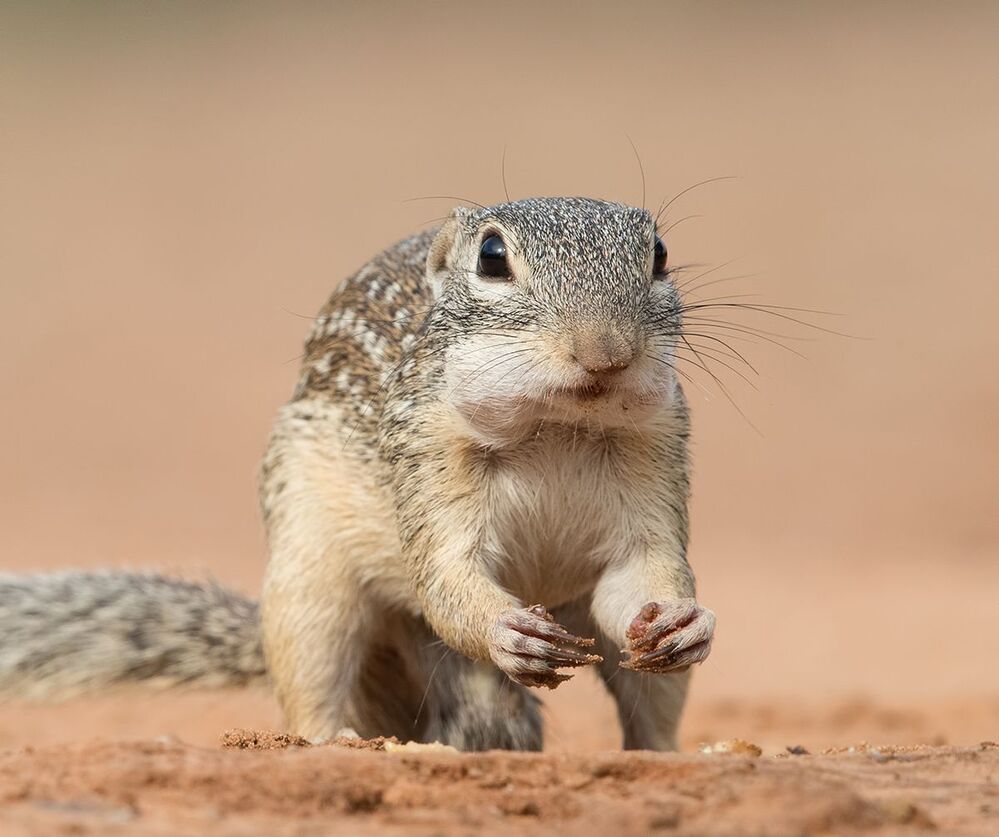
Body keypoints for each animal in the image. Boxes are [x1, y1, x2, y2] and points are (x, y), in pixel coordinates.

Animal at [0, 197, 716, 752]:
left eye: (658, 254)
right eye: (491, 257)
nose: (606, 352)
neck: (558, 429)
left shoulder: (657, 457)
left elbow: (639, 575)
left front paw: (686, 622)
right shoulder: (427, 456)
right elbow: (446, 579)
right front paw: (503, 630)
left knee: (650, 710)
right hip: (309, 586)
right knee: (314, 677)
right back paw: (330, 740)